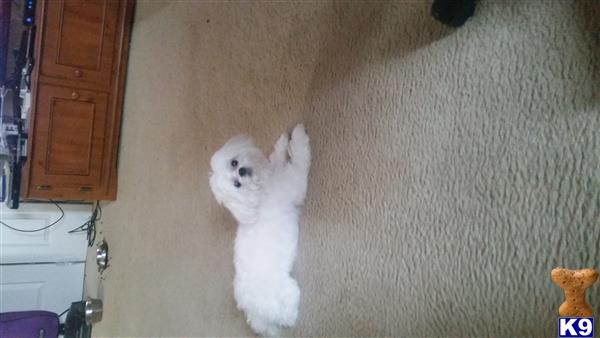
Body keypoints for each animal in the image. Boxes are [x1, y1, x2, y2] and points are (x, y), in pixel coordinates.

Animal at [209, 123, 312, 336]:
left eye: (234, 163)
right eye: (237, 185)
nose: (241, 171)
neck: (260, 192)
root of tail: (255, 314)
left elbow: (276, 157)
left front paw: (282, 143)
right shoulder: (294, 182)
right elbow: (300, 158)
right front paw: (298, 135)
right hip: (287, 291)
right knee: (288, 313)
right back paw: (292, 318)